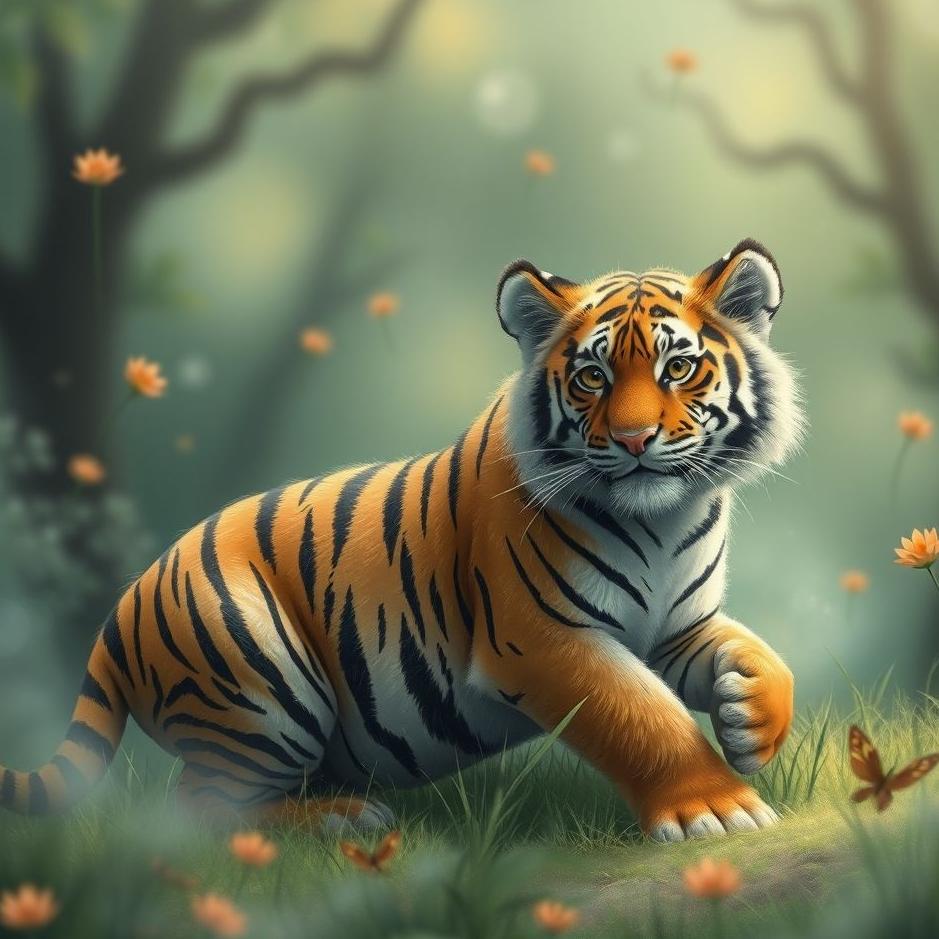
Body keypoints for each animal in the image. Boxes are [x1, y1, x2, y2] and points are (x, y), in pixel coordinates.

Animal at [0, 238, 802, 842]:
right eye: (591, 377)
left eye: (678, 366)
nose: (634, 440)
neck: (662, 521)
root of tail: (123, 603)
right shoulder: (543, 640)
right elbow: (642, 718)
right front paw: (715, 811)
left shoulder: (676, 624)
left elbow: (763, 657)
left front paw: (750, 721)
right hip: (264, 685)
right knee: (198, 810)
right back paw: (341, 821)